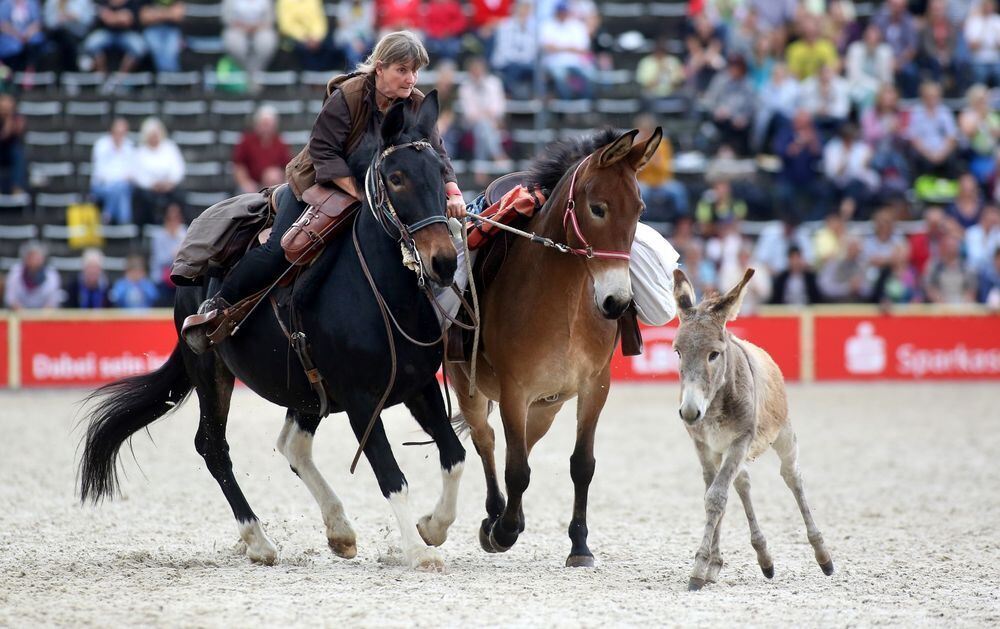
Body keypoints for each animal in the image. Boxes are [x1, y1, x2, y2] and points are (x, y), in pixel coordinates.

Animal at [676, 268, 832, 588]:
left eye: (714, 354)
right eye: (678, 353)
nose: (689, 412)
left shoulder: (741, 440)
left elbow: (716, 497)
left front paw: (698, 569)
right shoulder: (705, 447)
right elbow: (714, 496)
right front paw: (709, 563)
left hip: (783, 435)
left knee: (793, 477)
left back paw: (822, 555)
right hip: (725, 452)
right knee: (743, 483)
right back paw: (763, 558)